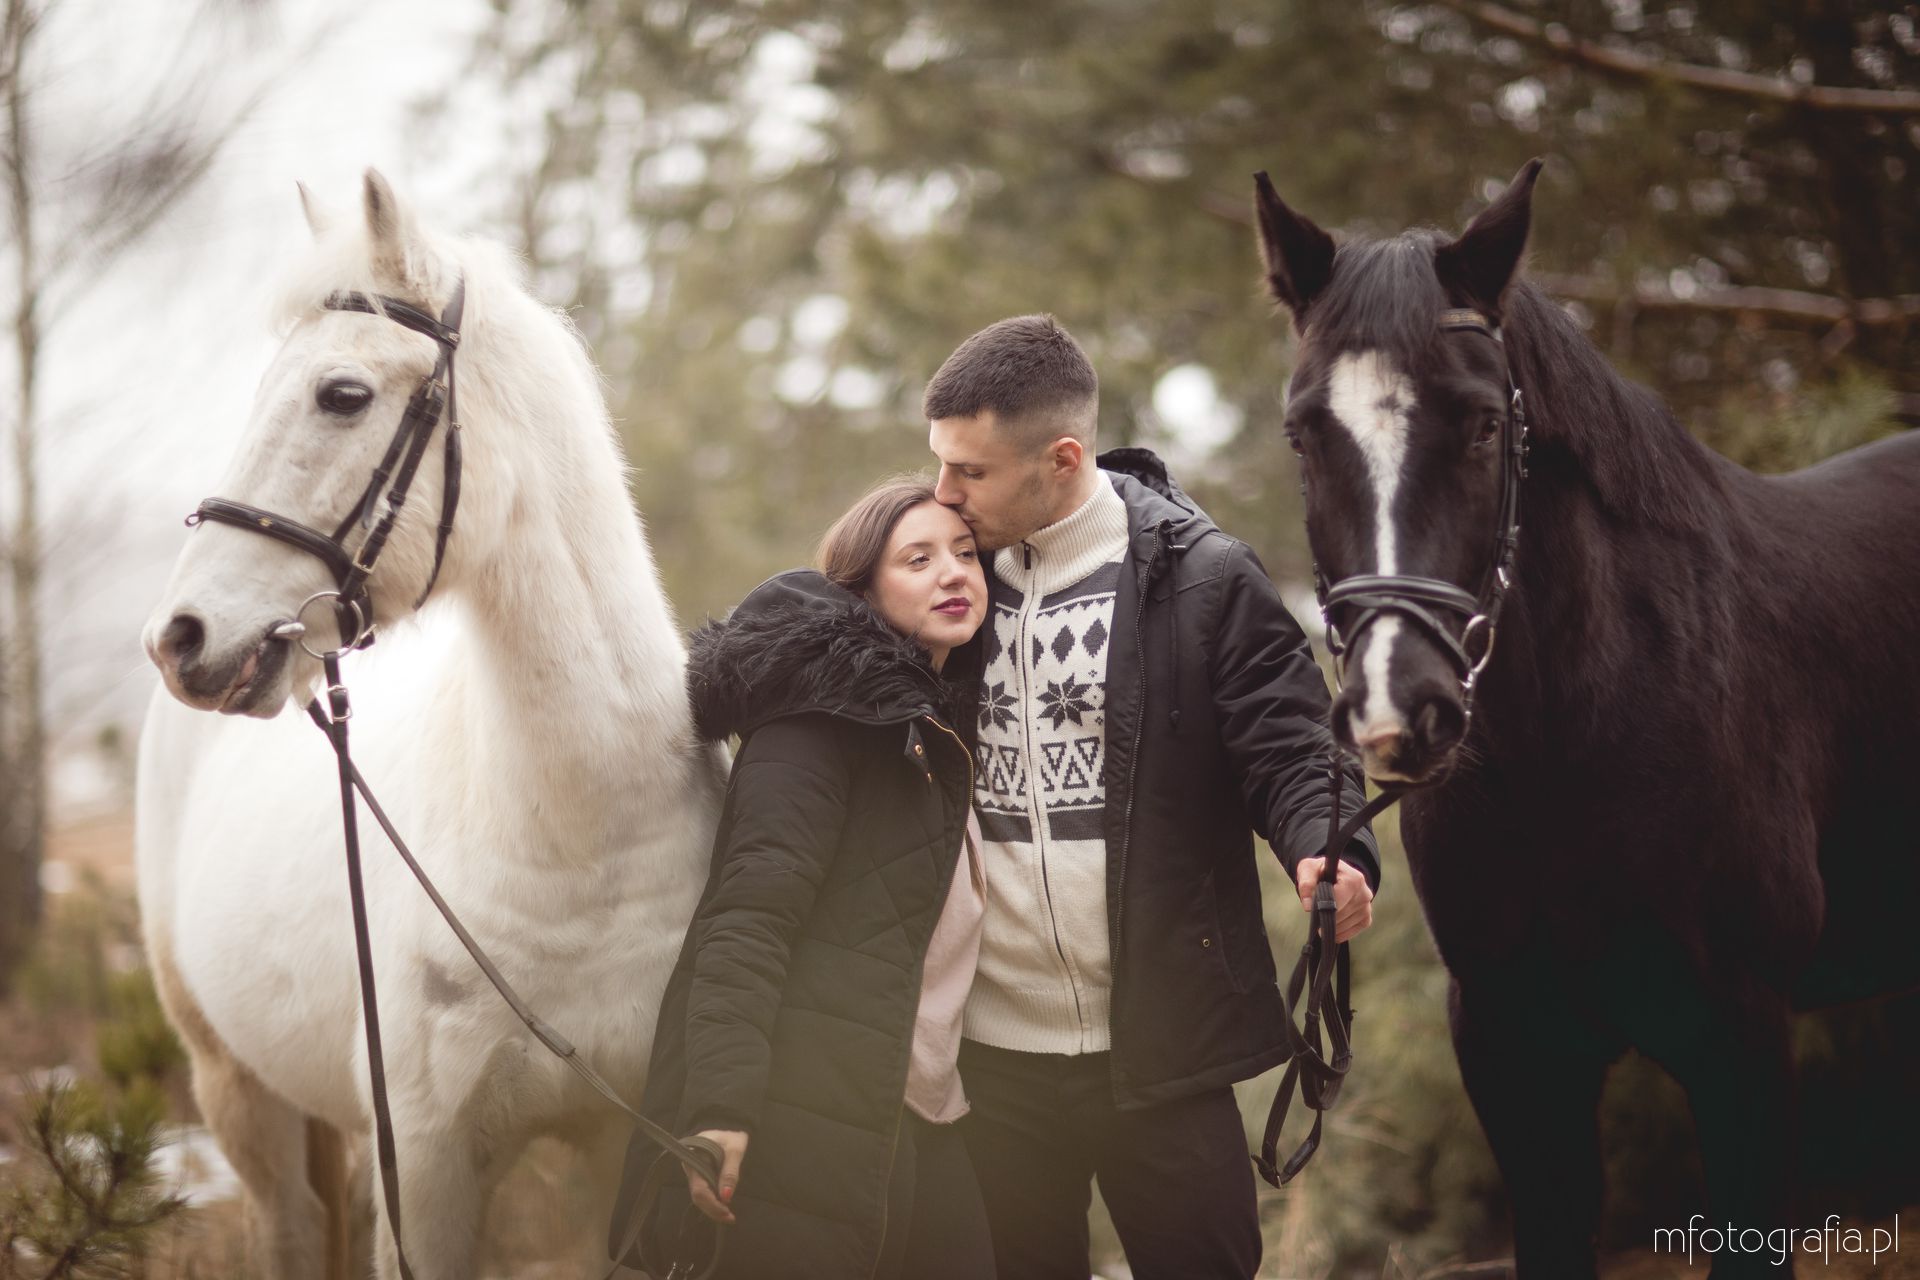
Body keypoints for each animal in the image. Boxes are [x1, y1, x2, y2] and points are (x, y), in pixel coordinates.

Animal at [136, 170, 726, 1280]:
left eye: (342, 394)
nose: (179, 636)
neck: (584, 842)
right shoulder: (430, 1162)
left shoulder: (620, 1152)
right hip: (236, 1090)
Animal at [1251, 159, 1920, 1278]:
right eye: (1304, 431)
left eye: (1484, 423)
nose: (1399, 706)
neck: (1575, 750)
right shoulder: (1518, 1050)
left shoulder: (1742, 1040)